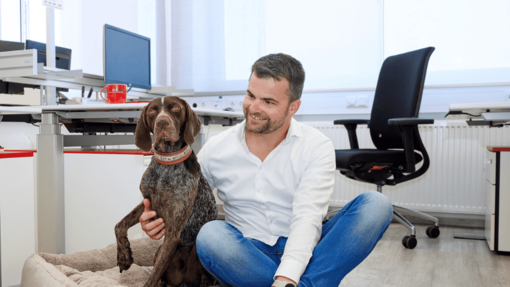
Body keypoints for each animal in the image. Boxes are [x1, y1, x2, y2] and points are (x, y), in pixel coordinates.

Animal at [114, 97, 218, 287]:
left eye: (175, 108)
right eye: (152, 111)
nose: (162, 122)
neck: (167, 162)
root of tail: (184, 282)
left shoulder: (173, 231)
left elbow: (153, 276)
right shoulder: (148, 202)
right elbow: (119, 225)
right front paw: (124, 256)